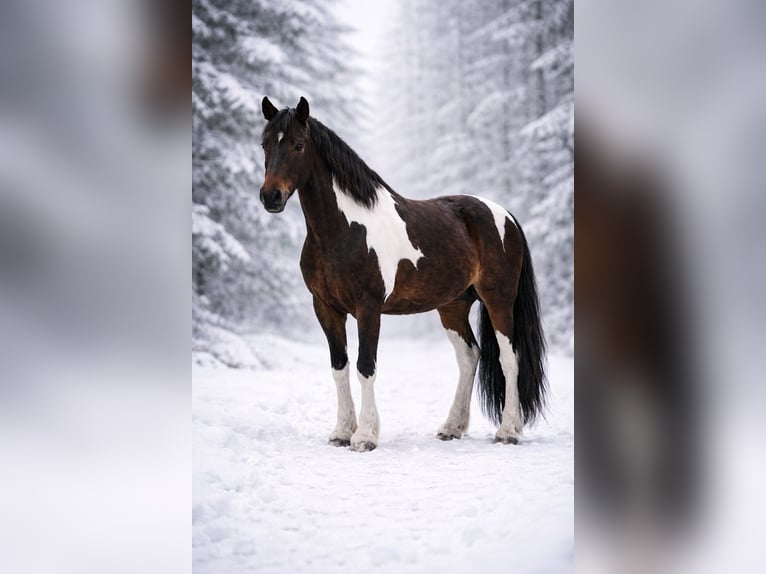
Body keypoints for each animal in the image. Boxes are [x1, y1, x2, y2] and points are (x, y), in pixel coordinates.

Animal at [259, 96, 546, 452]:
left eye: (298, 145)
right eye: (264, 144)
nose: (271, 196)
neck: (342, 230)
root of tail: (504, 215)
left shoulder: (368, 308)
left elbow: (365, 366)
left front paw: (365, 436)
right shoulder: (325, 308)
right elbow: (339, 367)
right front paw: (342, 431)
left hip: (499, 300)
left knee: (510, 358)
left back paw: (508, 431)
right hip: (453, 306)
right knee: (469, 356)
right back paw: (452, 427)